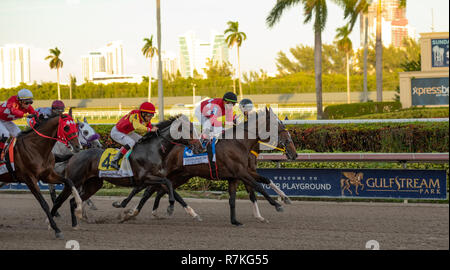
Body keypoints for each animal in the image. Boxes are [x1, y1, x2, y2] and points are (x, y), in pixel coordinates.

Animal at [50, 115, 203, 229]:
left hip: (93, 184)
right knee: (62, 200)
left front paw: (193, 213)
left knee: (72, 201)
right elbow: (167, 185)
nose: (200, 147)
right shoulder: (146, 178)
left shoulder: (156, 177)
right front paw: (170, 207)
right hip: (75, 181)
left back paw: (77, 222)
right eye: (189, 131)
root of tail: (75, 154)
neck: (153, 150)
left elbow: (172, 190)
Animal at [116, 107, 298, 226]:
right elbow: (258, 187)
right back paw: (131, 211)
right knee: (148, 189)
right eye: (279, 127)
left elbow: (251, 189)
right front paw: (277, 205)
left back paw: (136, 211)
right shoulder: (241, 172)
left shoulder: (239, 174)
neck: (239, 143)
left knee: (157, 189)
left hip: (181, 176)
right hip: (166, 173)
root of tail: (166, 146)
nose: (294, 154)